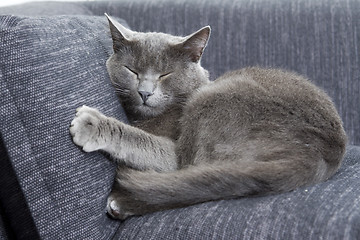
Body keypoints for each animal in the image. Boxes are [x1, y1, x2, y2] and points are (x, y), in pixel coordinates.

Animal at [69, 15, 348, 220]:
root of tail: (321, 152)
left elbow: (141, 140)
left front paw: (90, 123)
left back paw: (120, 203)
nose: (144, 92)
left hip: (212, 101)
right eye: (132, 70)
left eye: (165, 74)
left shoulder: (173, 154)